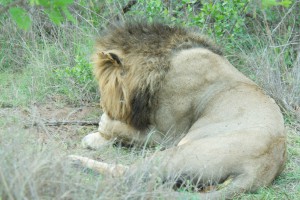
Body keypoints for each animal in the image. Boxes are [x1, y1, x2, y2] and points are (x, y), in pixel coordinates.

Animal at [69, 21, 286, 199]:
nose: (102, 103)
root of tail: (258, 170)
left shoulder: (166, 136)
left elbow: (117, 129)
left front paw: (99, 129)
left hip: (175, 153)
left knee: (127, 174)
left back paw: (74, 161)